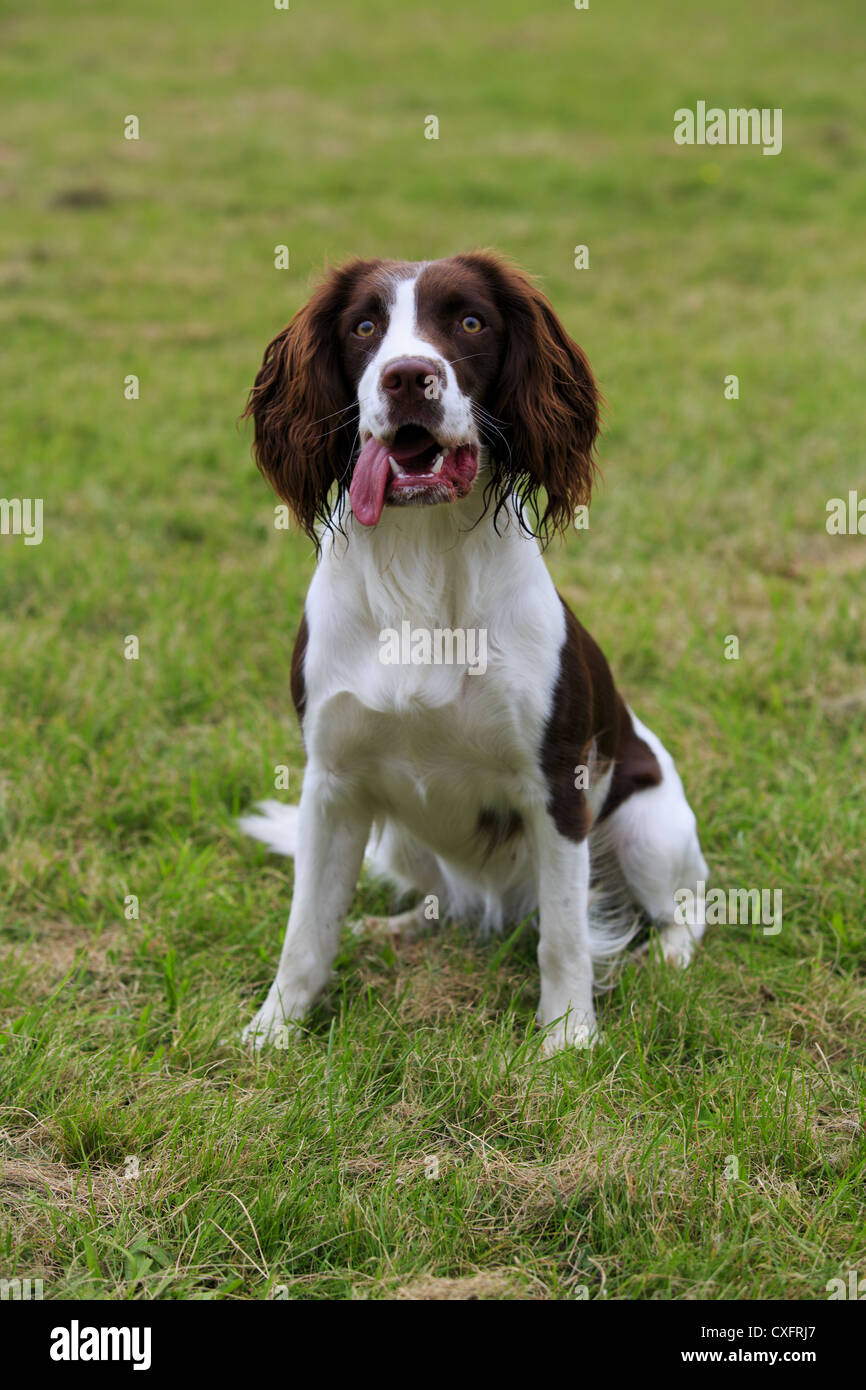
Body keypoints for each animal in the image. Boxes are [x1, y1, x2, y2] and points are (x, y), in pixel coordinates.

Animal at [240, 252, 708, 1050]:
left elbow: (564, 936)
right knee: (447, 906)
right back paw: (391, 927)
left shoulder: (558, 785)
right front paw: (274, 1031)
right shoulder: (331, 784)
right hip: (400, 840)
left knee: (681, 909)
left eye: (469, 321)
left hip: (649, 828)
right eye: (363, 327)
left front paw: (567, 1039)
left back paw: (666, 957)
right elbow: (305, 930)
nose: (407, 377)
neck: (421, 564)